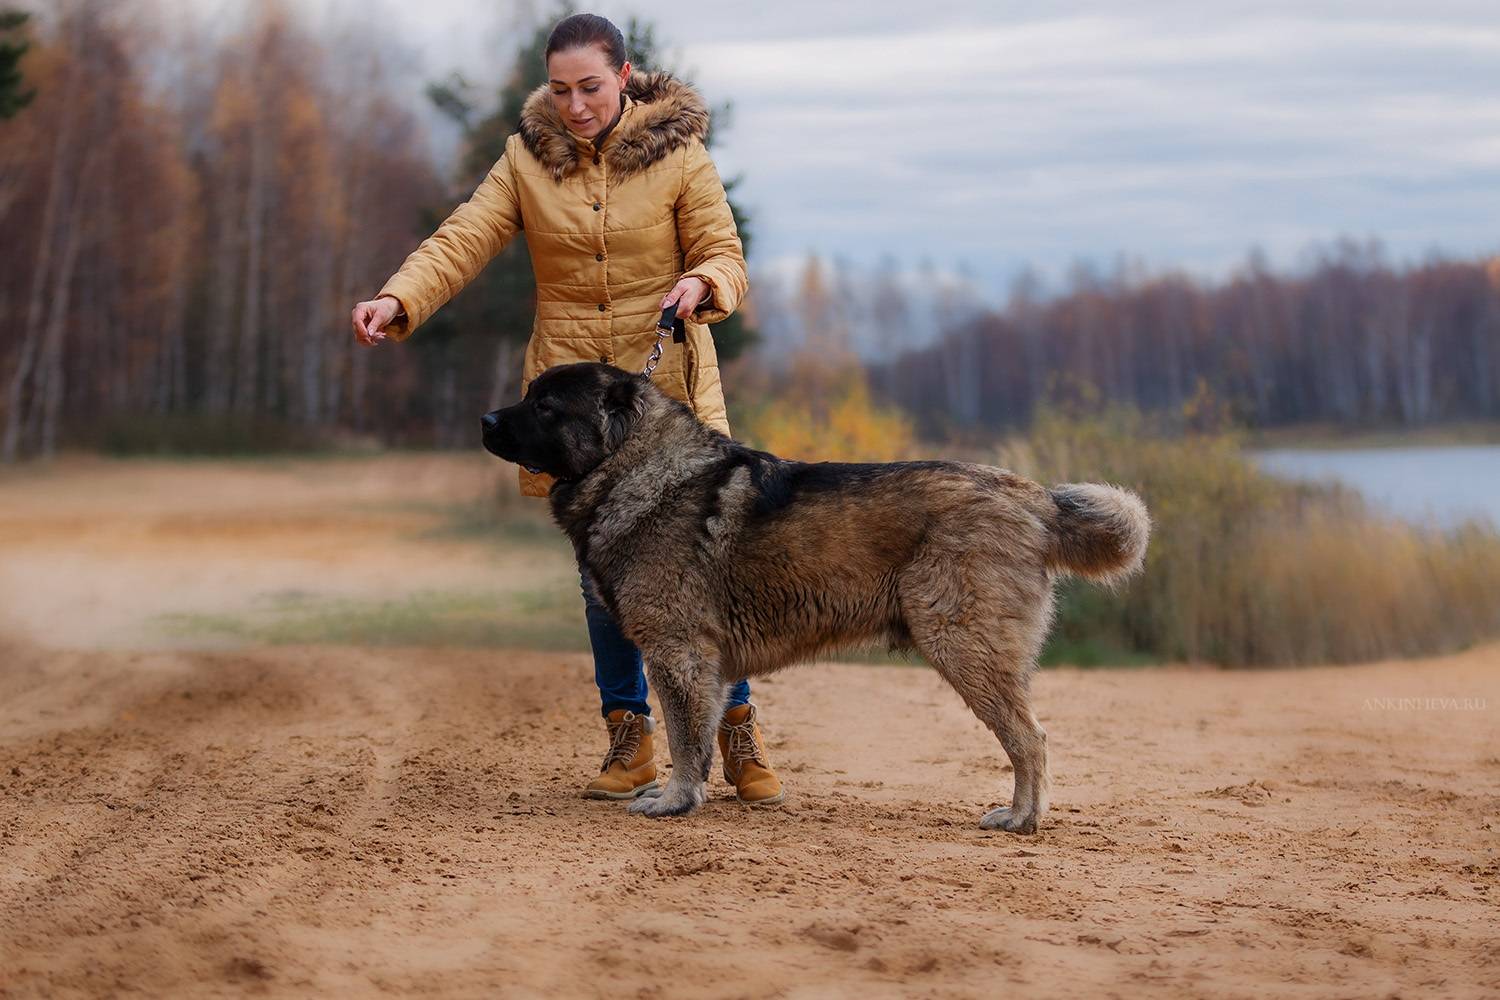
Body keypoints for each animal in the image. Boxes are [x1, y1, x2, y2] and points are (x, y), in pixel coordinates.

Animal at [480, 364, 1146, 833]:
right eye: (530, 393)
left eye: (544, 404)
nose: (486, 419)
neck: (636, 467)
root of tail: (1032, 498)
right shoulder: (706, 665)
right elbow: (700, 735)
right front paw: (686, 795)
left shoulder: (679, 654)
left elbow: (684, 740)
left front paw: (673, 801)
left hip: (965, 649)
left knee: (1030, 739)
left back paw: (1023, 819)